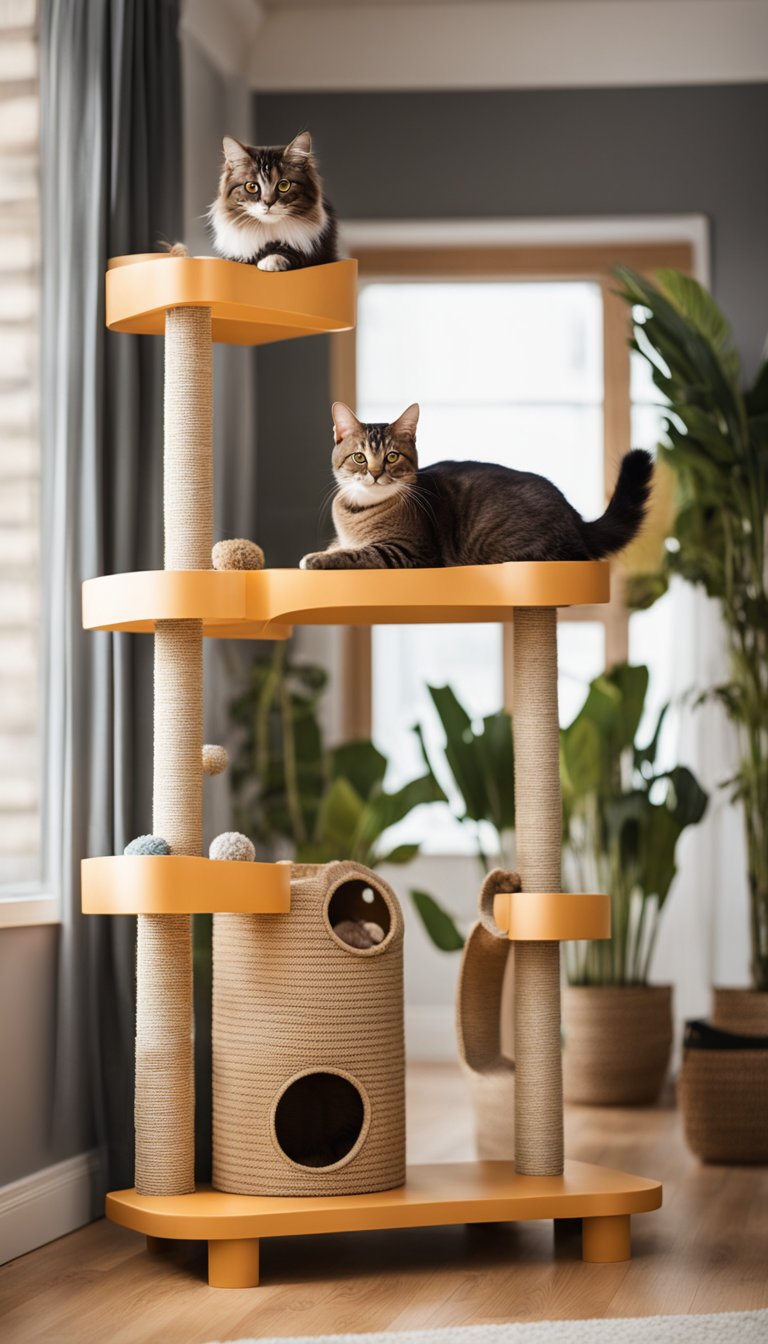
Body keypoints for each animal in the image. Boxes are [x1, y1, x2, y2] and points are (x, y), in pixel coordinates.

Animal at [207, 129, 336, 271]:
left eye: (284, 185)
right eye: (251, 187)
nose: (268, 202)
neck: (268, 230)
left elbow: (291, 253)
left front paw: (270, 261)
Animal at [299, 397, 656, 567]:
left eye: (392, 457)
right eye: (359, 457)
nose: (374, 473)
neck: (358, 510)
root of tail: (575, 516)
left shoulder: (410, 552)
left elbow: (357, 555)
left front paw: (315, 559)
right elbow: (341, 546)